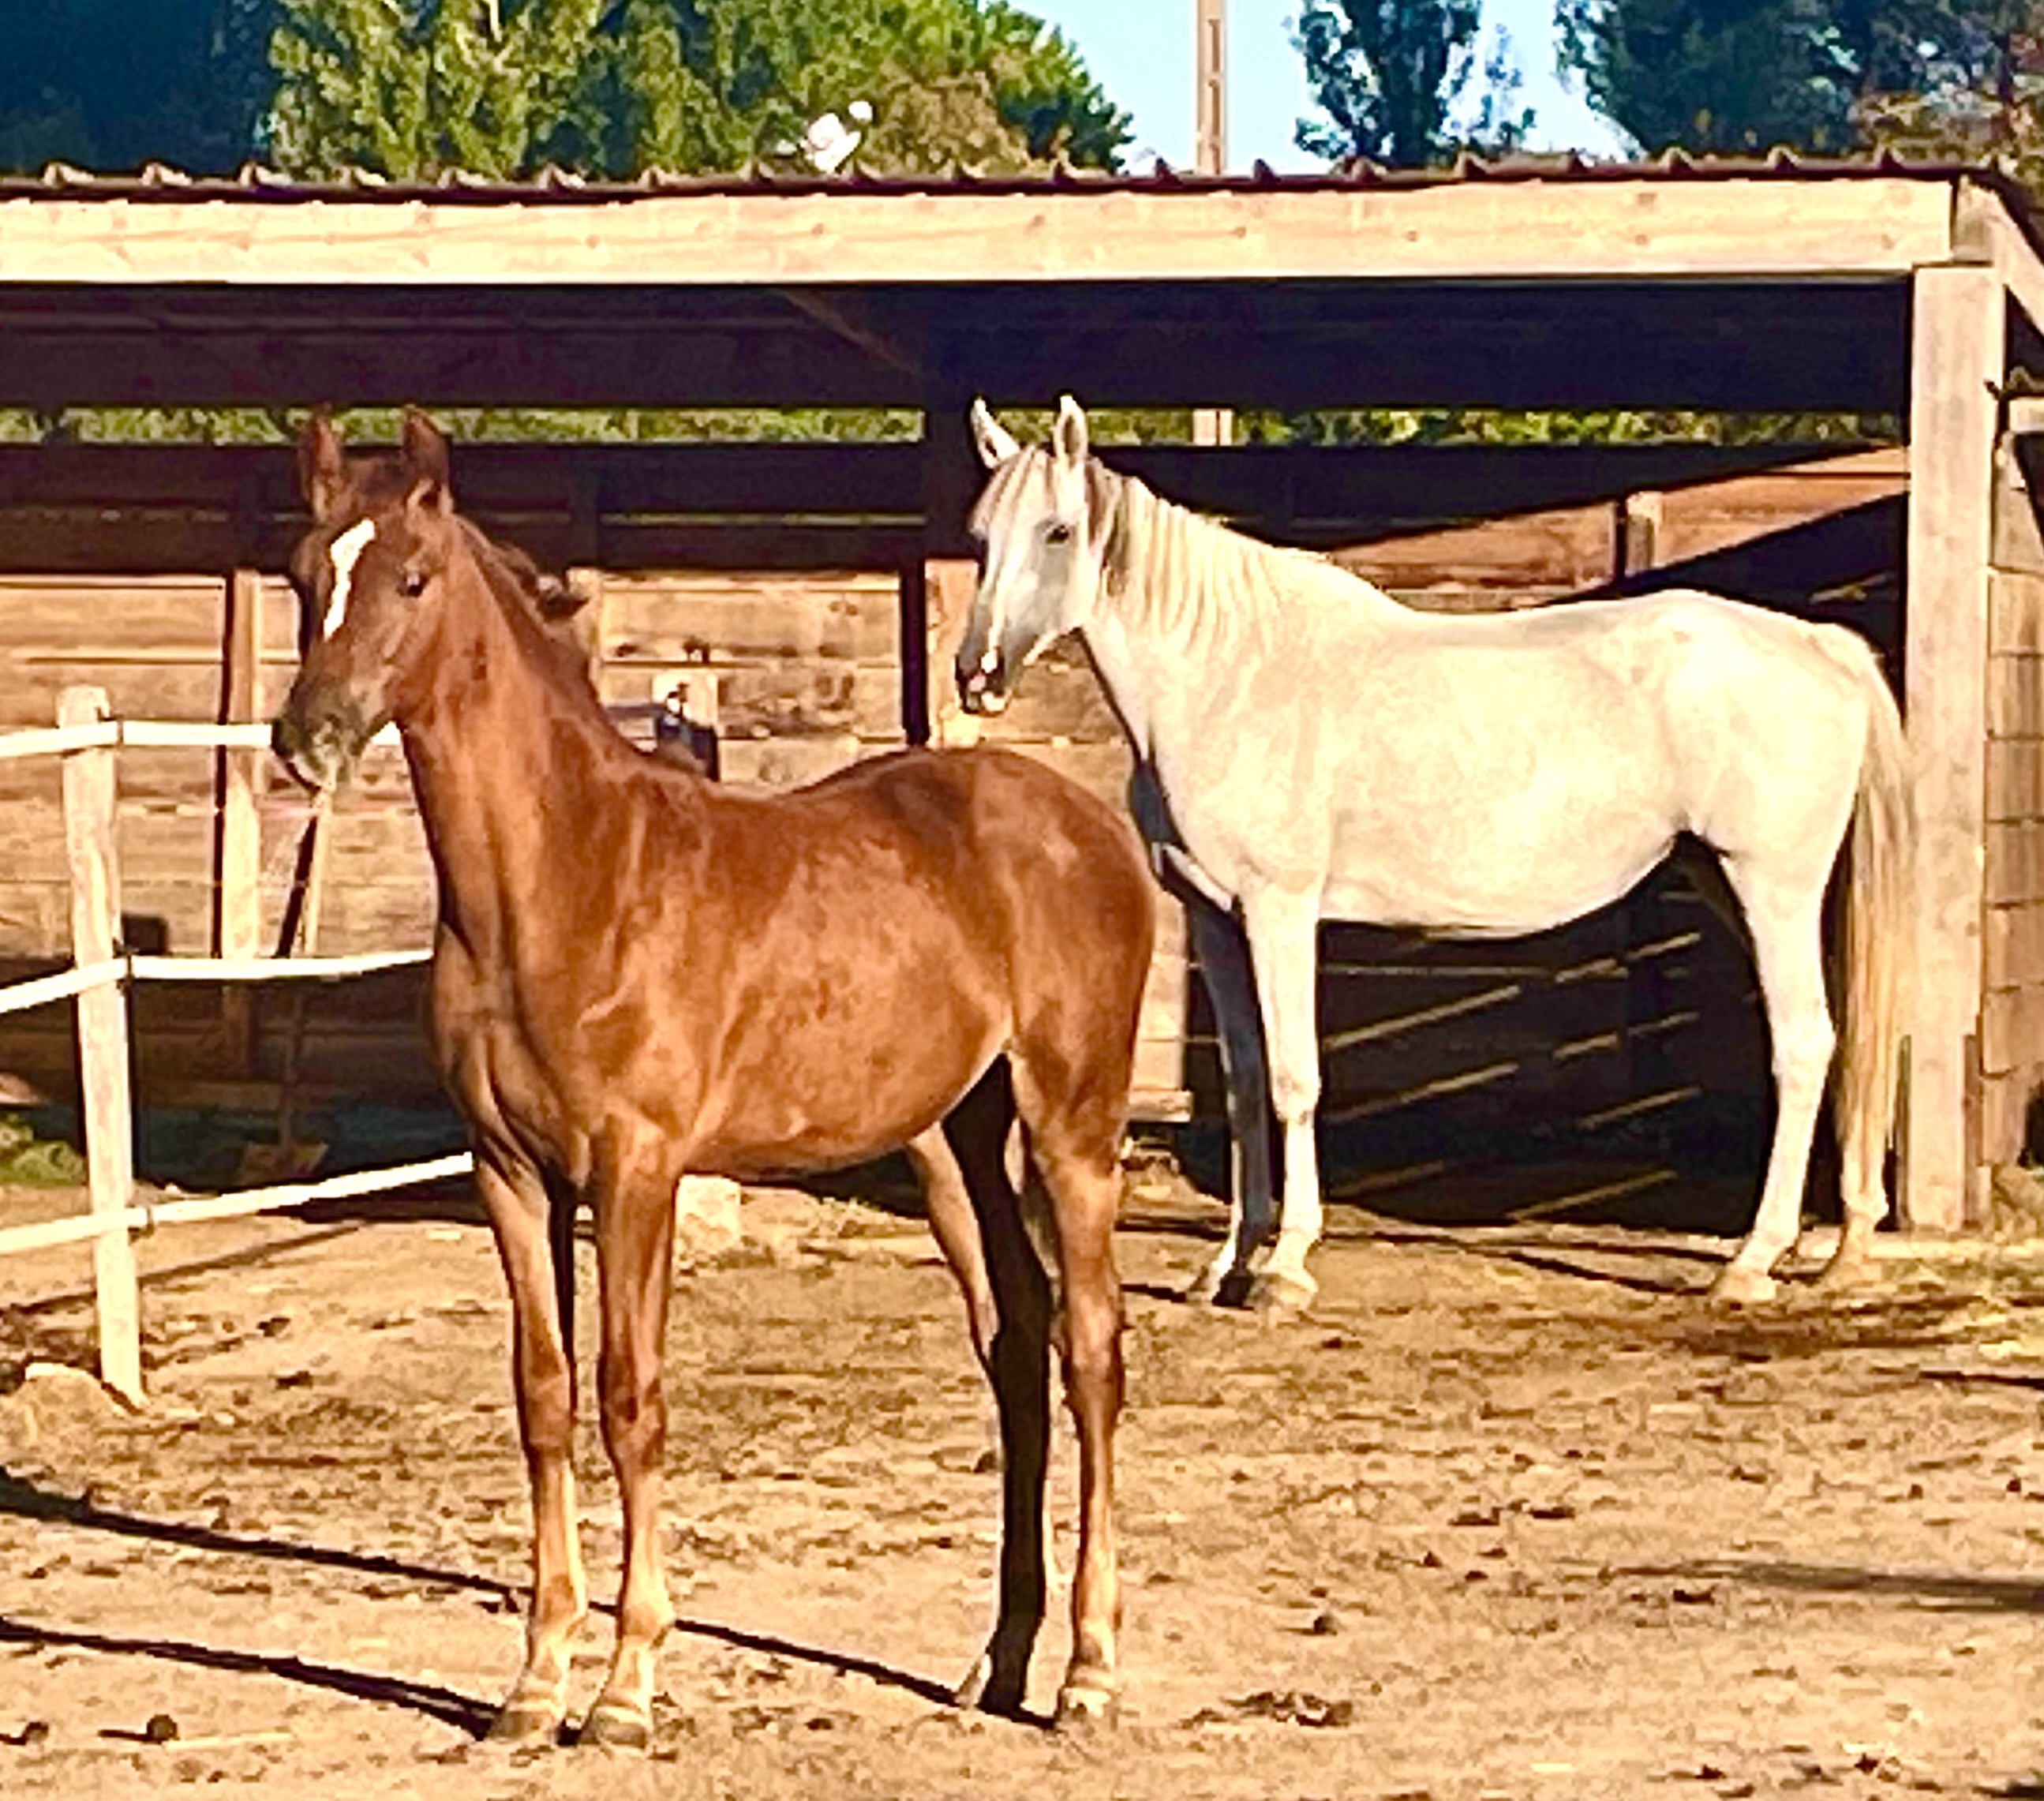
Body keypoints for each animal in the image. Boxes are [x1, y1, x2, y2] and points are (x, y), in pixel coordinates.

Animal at [271, 411, 1156, 1744]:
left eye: (411, 578)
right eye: (302, 574)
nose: (301, 739)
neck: (562, 878)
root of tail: (1086, 822)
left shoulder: (637, 1170)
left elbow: (630, 1397)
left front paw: (626, 1686)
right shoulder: (510, 1171)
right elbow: (544, 1396)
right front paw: (535, 1683)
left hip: (1070, 1125)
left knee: (1091, 1350)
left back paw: (1091, 1672)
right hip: (953, 1144)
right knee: (1016, 1343)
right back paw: (997, 1664)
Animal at [958, 397, 1910, 1312]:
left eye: (1057, 531)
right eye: (979, 535)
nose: (978, 674)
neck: (1233, 677)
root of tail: (1819, 646)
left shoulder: (1280, 911)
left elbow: (1295, 1078)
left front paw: (1285, 1267)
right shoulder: (1219, 920)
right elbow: (1243, 1083)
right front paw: (1228, 1262)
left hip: (1770, 888)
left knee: (1802, 1046)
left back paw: (1750, 1262)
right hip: (1733, 884)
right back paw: (1840, 1246)